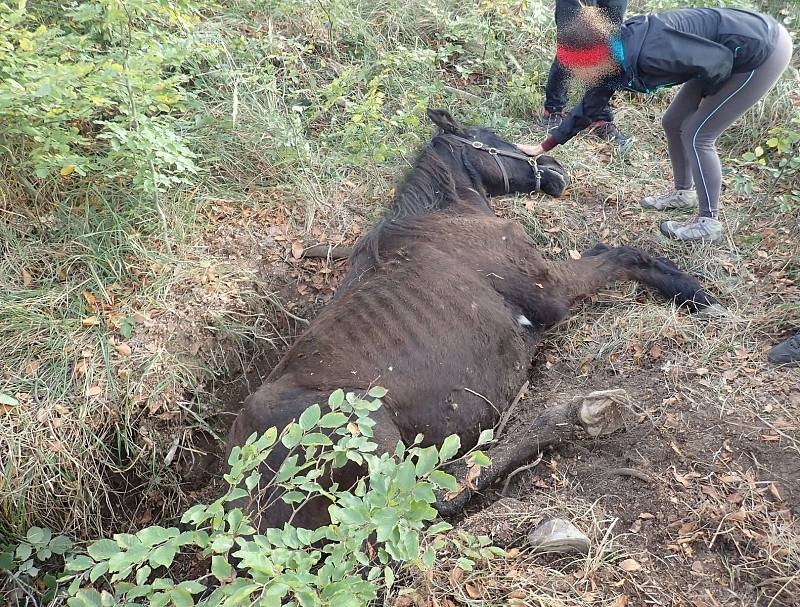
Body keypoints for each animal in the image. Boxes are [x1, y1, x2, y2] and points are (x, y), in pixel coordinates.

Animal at [228, 108, 720, 532]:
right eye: (491, 136)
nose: (555, 166)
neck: (443, 215)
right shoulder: (551, 293)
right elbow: (627, 255)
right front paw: (696, 294)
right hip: (369, 429)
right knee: (430, 497)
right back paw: (579, 415)